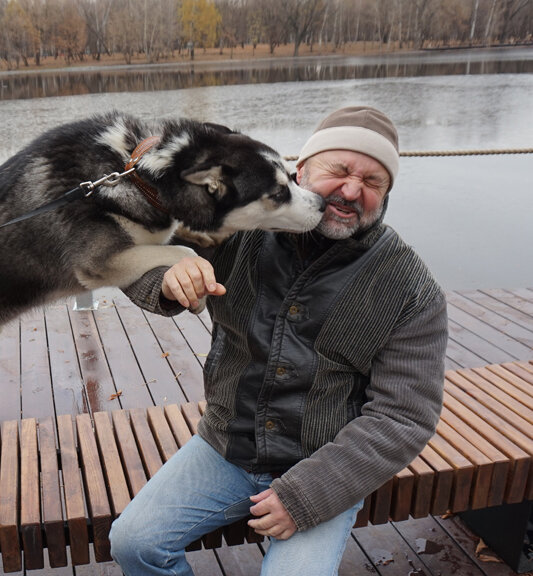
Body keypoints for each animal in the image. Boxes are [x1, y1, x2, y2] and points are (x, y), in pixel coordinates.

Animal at [0, 112, 324, 326]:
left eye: (292, 177)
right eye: (279, 193)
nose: (322, 203)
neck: (139, 174)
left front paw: (205, 235)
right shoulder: (98, 262)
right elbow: (185, 252)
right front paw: (199, 288)